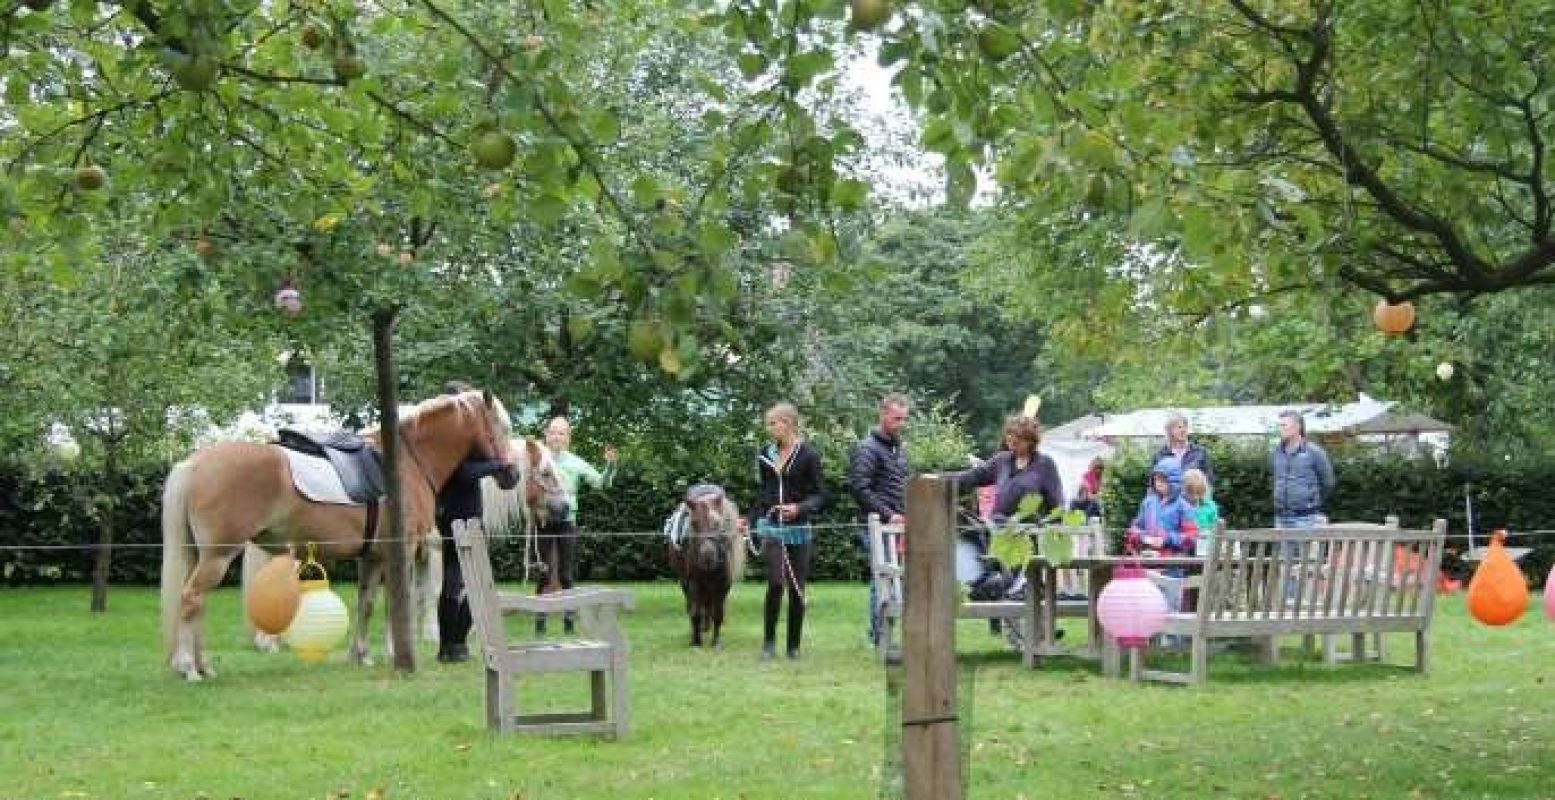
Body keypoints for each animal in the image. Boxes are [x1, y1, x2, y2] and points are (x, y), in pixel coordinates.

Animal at [158, 389, 538, 675]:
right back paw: (188, 668)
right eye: (502, 427)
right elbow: (396, 603)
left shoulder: (370, 558)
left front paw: (361, 654)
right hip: (218, 556)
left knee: (196, 604)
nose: (512, 474)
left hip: (203, 555)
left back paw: (202, 665)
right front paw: (396, 652)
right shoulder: (400, 551)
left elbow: (366, 603)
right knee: (191, 599)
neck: (406, 462)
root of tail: (194, 463)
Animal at [662, 482, 746, 644]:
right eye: (693, 523)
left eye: (717, 523)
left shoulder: (723, 584)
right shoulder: (694, 582)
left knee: (708, 606)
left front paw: (716, 641)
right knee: (693, 606)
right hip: (685, 582)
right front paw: (696, 640)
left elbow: (718, 614)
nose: (708, 556)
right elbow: (695, 612)